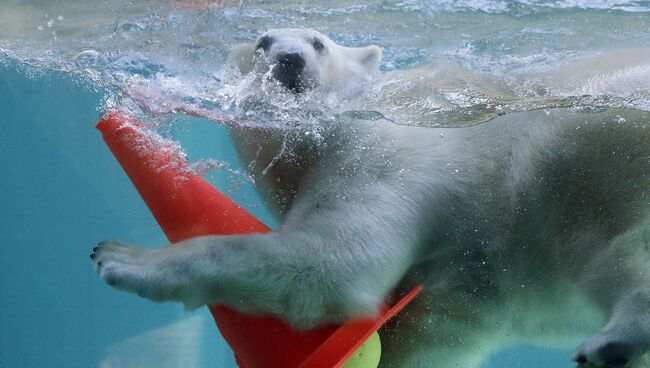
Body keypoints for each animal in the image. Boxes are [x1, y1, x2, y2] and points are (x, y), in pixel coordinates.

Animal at [91, 29, 648, 368]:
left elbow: (332, 262)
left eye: (318, 41)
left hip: (582, 161)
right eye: (262, 41)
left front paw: (122, 258)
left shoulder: (383, 153)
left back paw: (612, 339)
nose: (289, 60)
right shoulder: (455, 307)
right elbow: (420, 336)